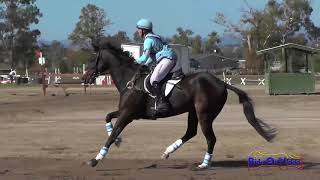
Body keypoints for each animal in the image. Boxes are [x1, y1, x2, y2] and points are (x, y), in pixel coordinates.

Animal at [82, 38, 278, 169]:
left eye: (93, 59)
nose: (84, 77)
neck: (129, 79)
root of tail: (221, 83)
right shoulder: (127, 112)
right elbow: (108, 118)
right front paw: (118, 141)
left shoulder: (127, 114)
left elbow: (112, 134)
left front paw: (96, 159)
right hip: (193, 112)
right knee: (191, 132)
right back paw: (168, 151)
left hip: (204, 114)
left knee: (210, 138)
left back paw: (204, 164)